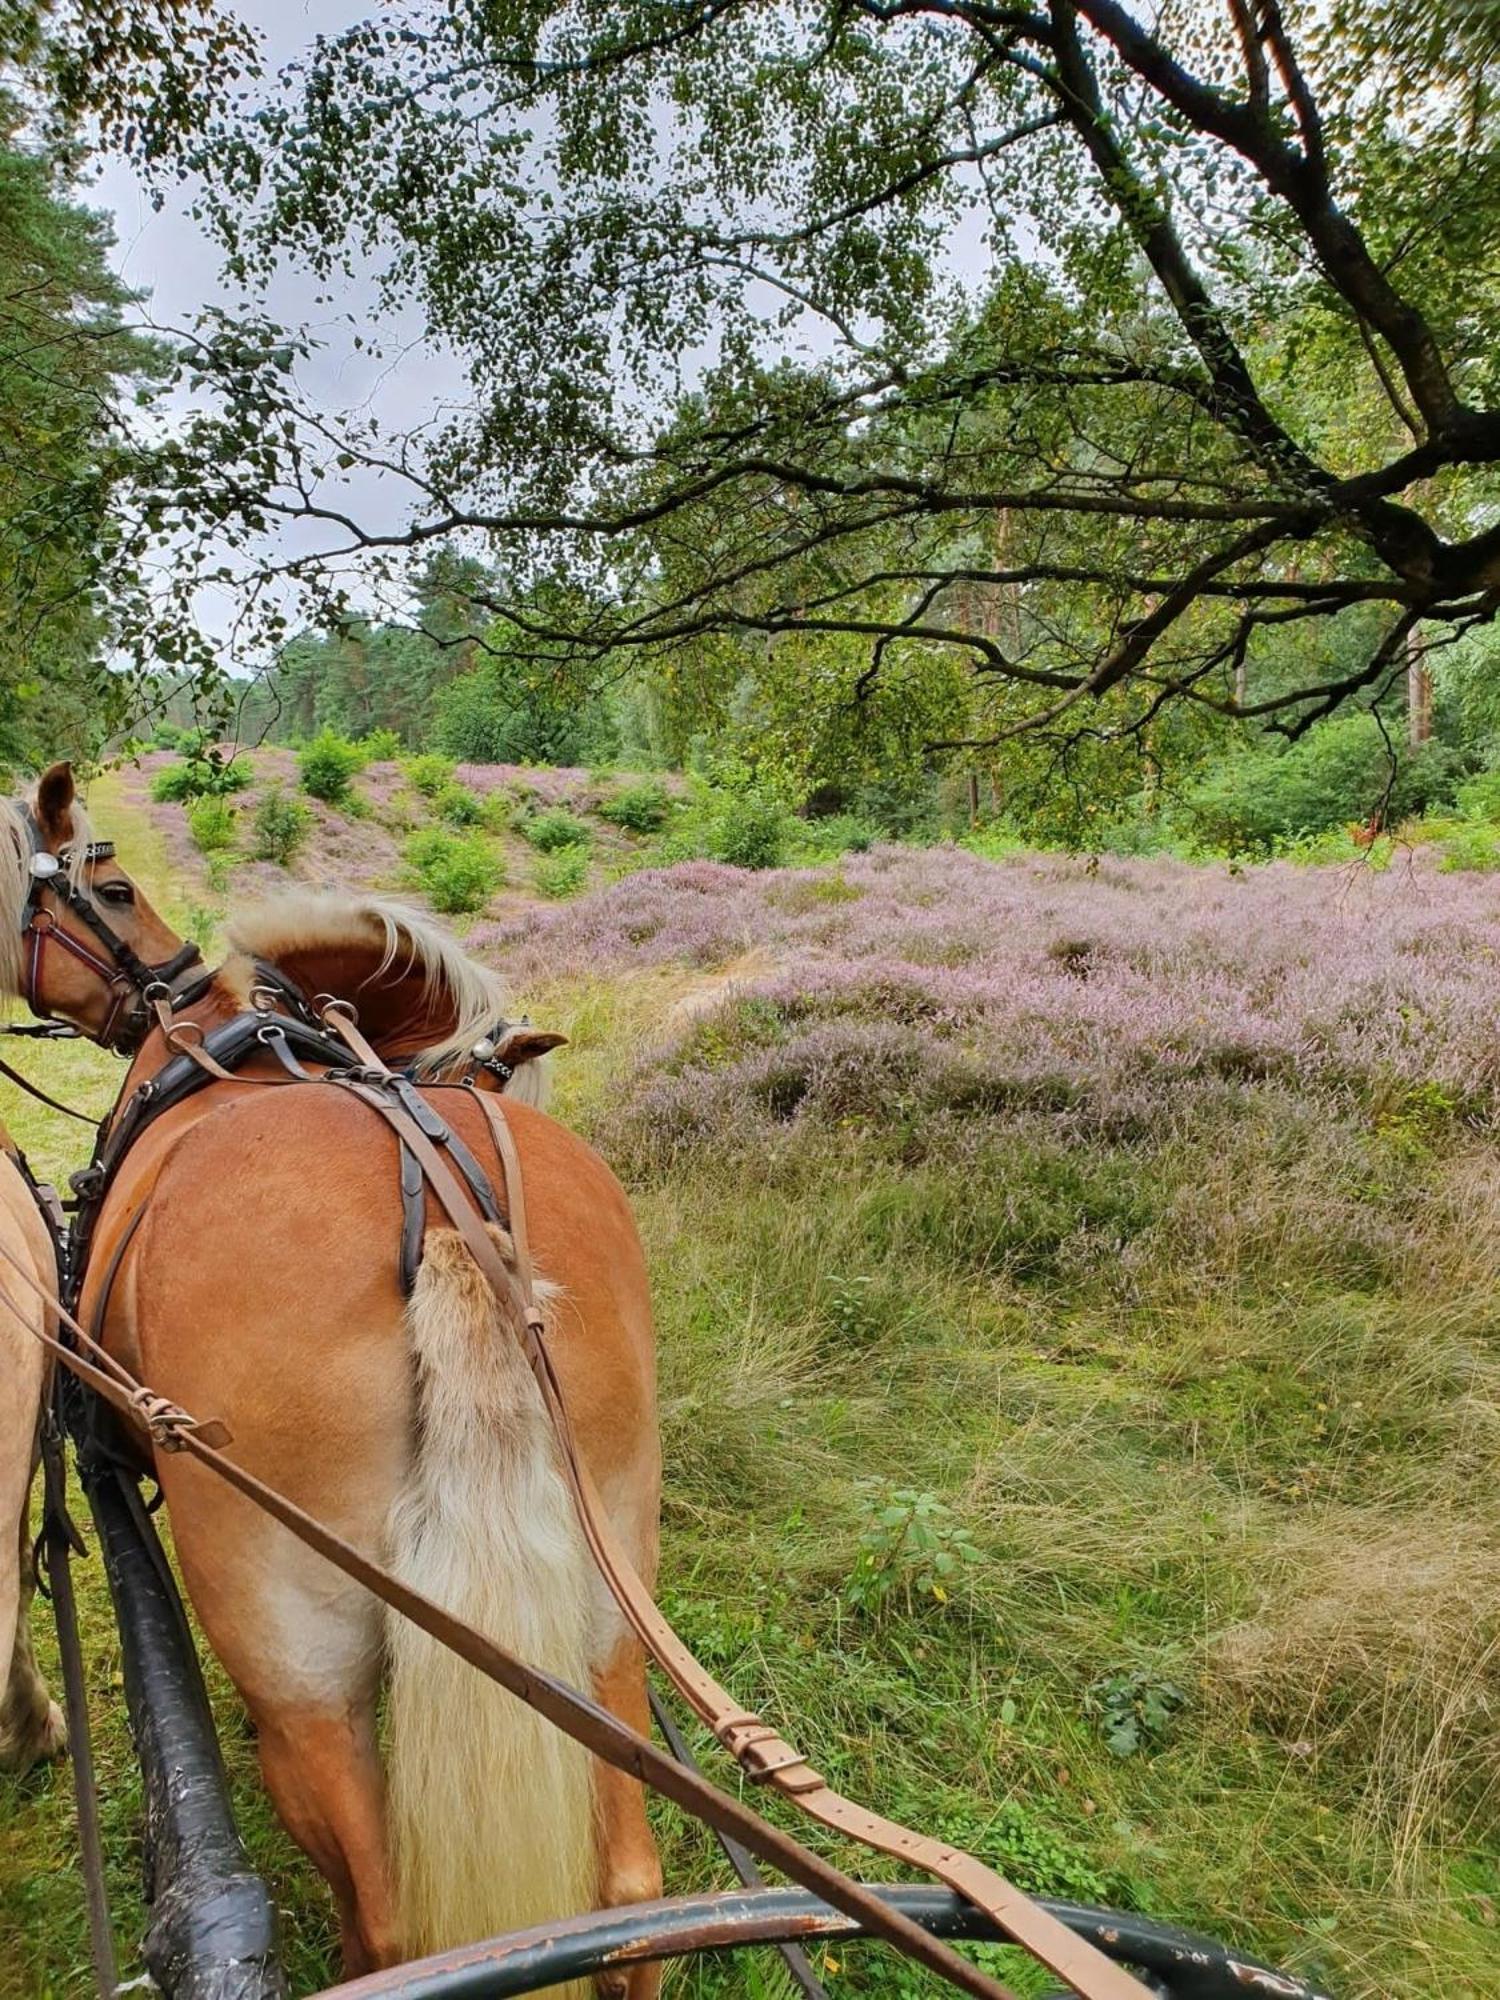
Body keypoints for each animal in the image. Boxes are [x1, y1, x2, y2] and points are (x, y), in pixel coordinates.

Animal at [4, 768, 664, 1984]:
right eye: (113, 887)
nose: (166, 978)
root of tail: (449, 1224)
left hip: (300, 1667)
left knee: (385, 1914)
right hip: (606, 1617)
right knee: (631, 1890)